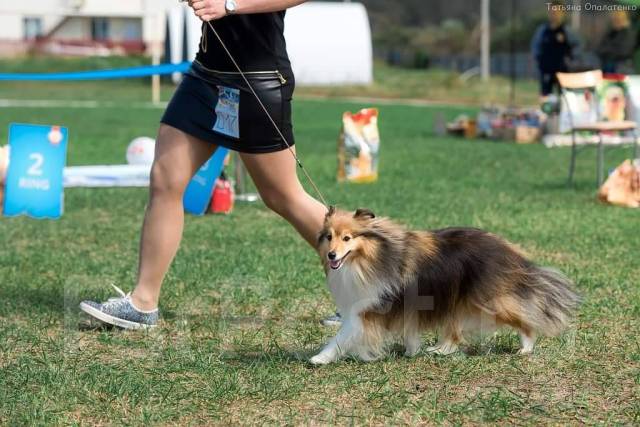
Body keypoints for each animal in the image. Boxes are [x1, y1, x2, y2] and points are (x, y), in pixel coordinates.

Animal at [310, 207, 580, 364]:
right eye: (329, 236)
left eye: (347, 238)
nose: (332, 255)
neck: (372, 255)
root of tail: (509, 251)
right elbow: (410, 331)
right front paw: (412, 351)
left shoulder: (367, 309)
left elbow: (341, 337)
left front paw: (319, 358)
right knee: (454, 332)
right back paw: (439, 350)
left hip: (489, 301)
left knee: (524, 318)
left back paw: (526, 348)